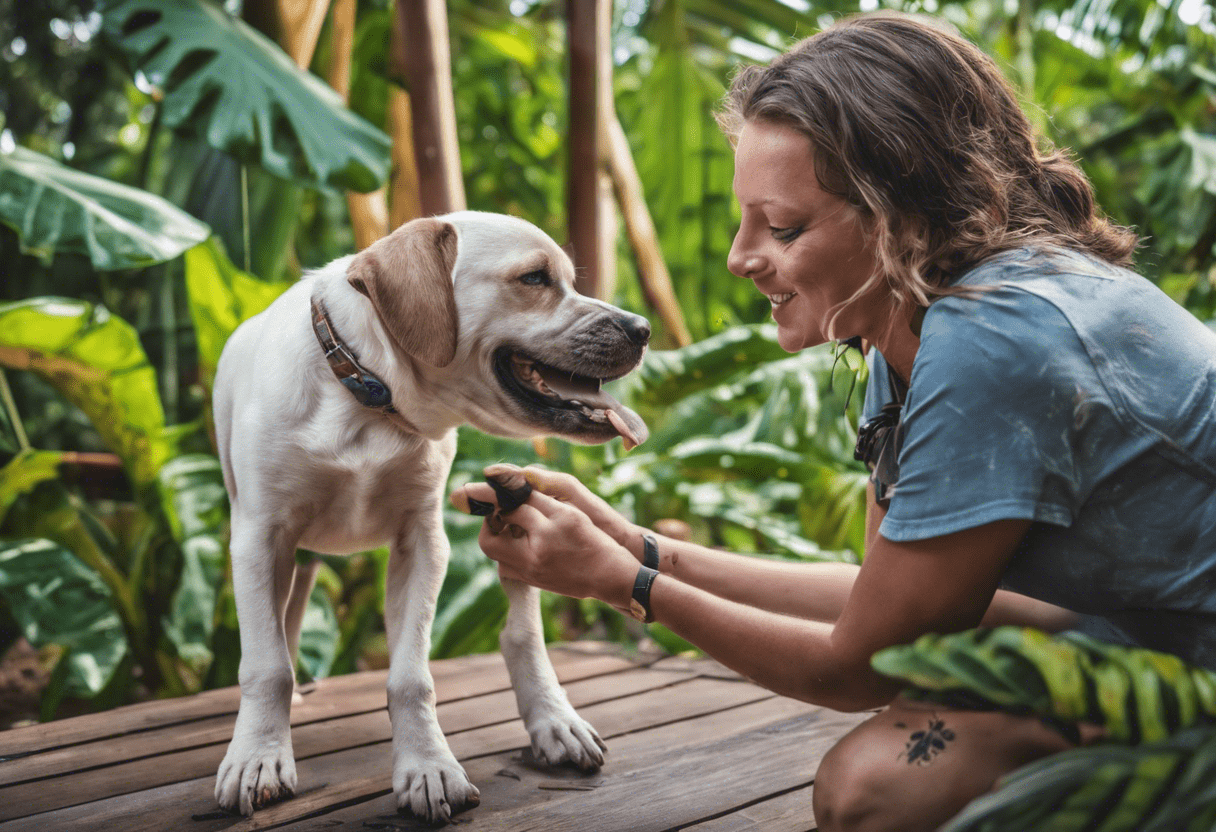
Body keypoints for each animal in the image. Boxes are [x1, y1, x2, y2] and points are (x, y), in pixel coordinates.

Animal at [211, 212, 646, 817]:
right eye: (535, 278)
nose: (644, 329)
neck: (367, 396)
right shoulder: (257, 537)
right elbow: (267, 664)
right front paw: (259, 756)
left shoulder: (424, 540)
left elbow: (411, 678)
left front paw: (427, 766)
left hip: (507, 504)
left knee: (523, 632)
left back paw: (555, 720)